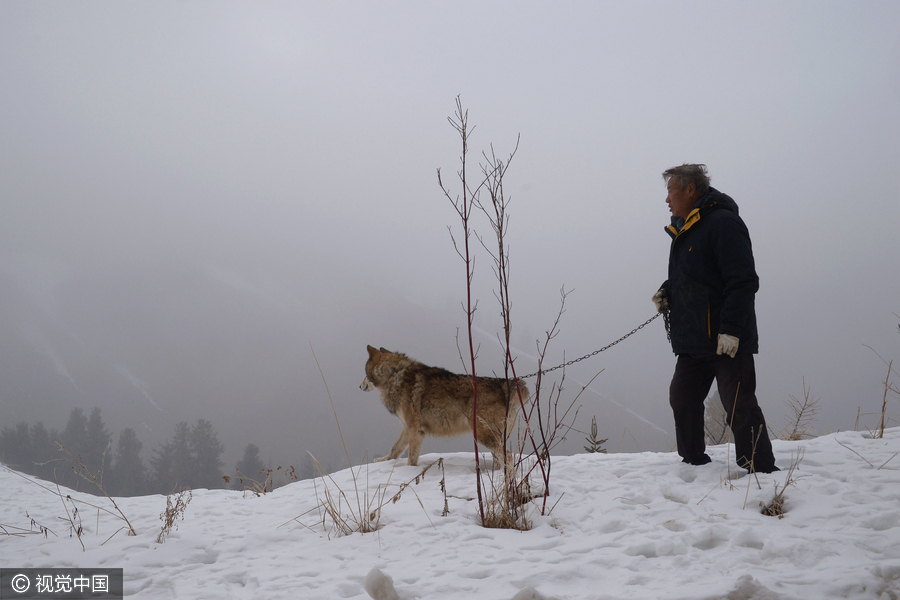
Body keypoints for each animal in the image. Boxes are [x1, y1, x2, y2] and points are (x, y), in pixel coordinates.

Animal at [358, 344, 528, 466]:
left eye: (365, 374)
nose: (359, 386)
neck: (395, 375)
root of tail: (506, 385)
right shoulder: (407, 428)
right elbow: (395, 449)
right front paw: (382, 461)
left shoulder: (415, 430)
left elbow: (411, 458)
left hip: (483, 435)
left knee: (509, 457)